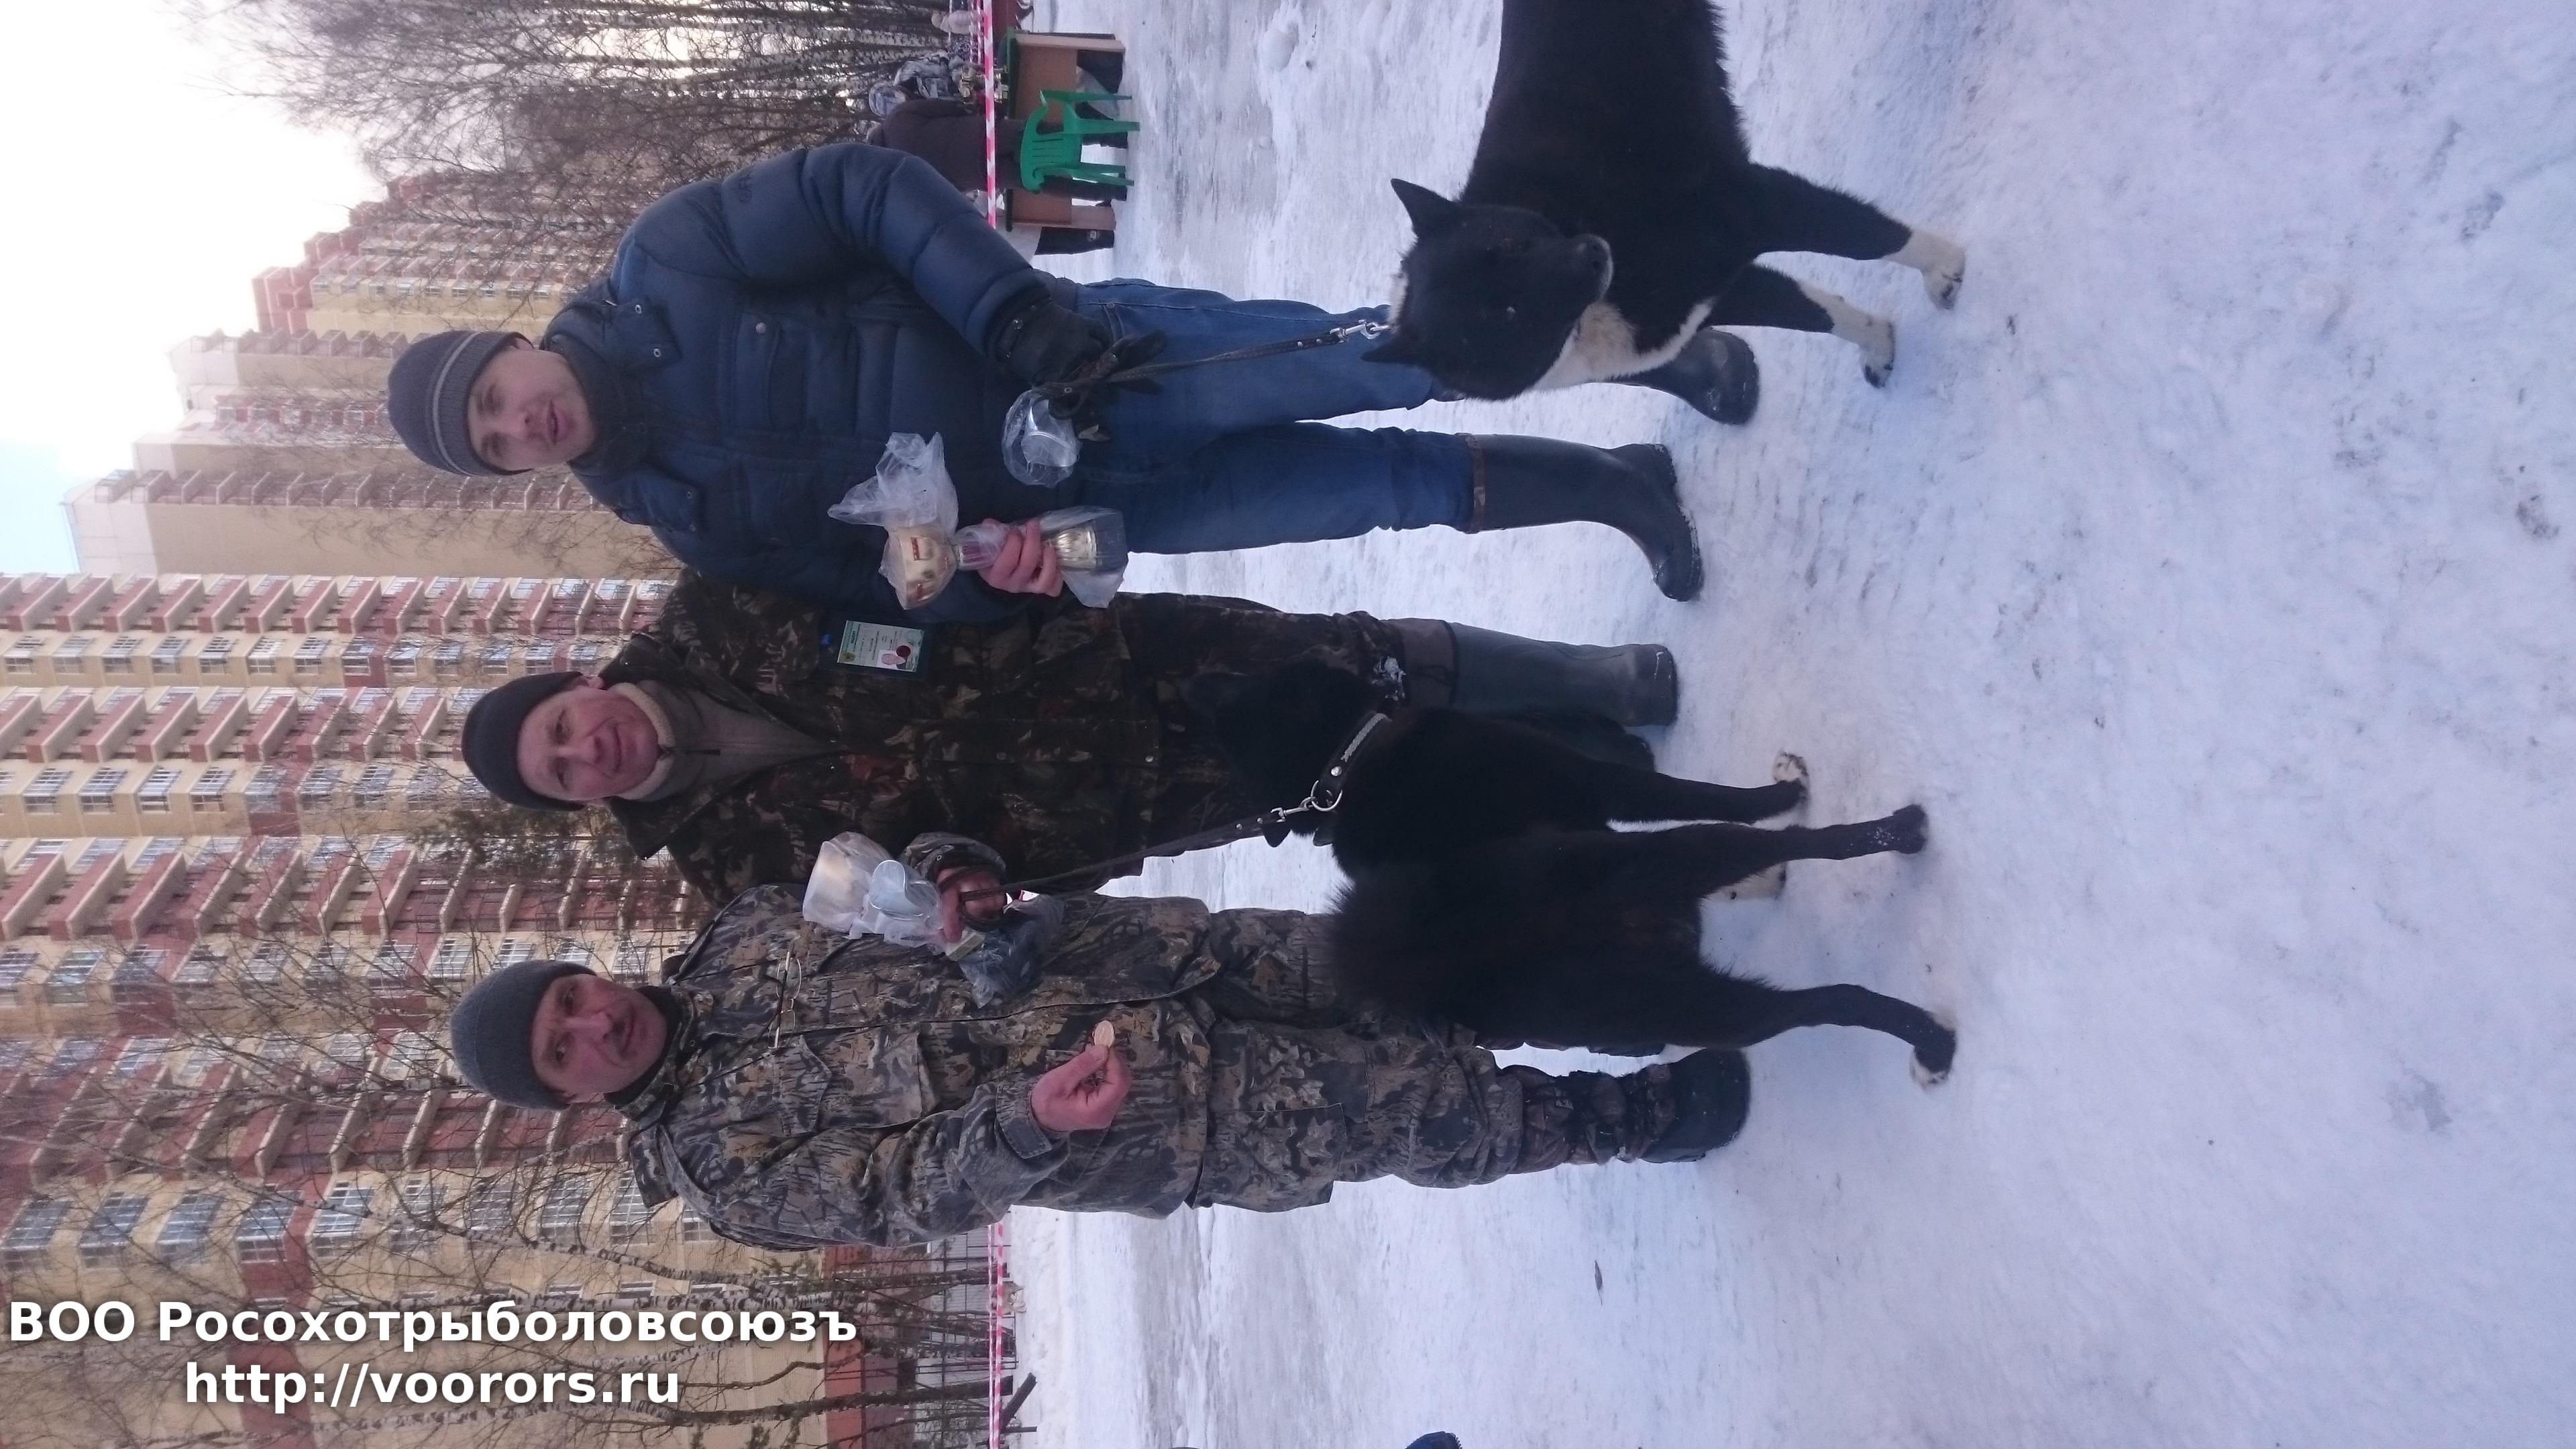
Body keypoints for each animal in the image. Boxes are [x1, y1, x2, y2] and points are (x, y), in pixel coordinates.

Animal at [1184, 662, 1957, 1080]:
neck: (1348, 763)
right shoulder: (1600, 785)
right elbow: (1706, 797)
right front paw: (1783, 793)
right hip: (1648, 867)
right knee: (1802, 906)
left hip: (1672, 1004)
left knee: (1804, 1007)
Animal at [1365, 0, 1966, 402]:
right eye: (1502, 314)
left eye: (1512, 243)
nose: (1594, 252)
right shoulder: (1721, 292)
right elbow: (1822, 314)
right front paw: (1879, 348)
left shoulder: (1751, 203)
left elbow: (1874, 238)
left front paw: (1945, 271)